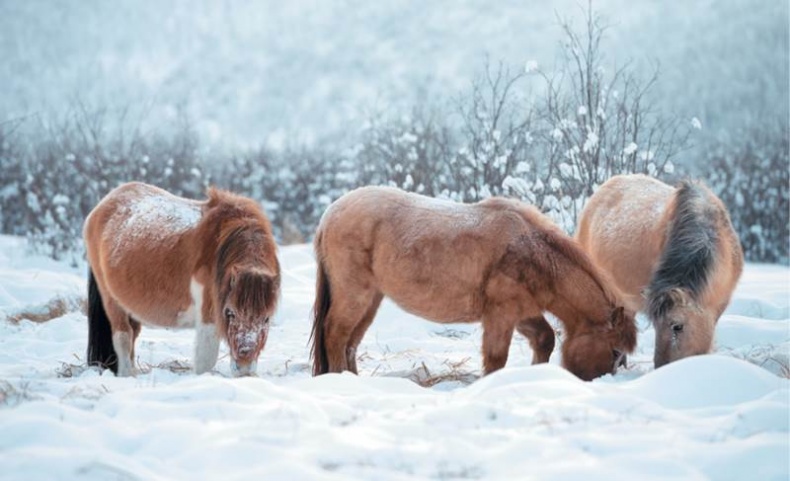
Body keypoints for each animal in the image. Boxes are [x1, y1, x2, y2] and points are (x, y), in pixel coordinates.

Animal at [84, 182, 280, 377]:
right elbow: (206, 359)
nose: (244, 369)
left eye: (266, 318)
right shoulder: (209, 315)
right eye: (230, 313)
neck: (220, 247)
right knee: (123, 339)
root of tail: (101, 206)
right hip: (112, 302)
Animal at [310, 186, 637, 381]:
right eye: (614, 352)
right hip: (355, 295)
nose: (598, 381)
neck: (533, 252)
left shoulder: (522, 313)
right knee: (336, 334)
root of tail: (328, 216)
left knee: (351, 341)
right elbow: (495, 358)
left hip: (371, 301)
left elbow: (545, 339)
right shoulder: (500, 315)